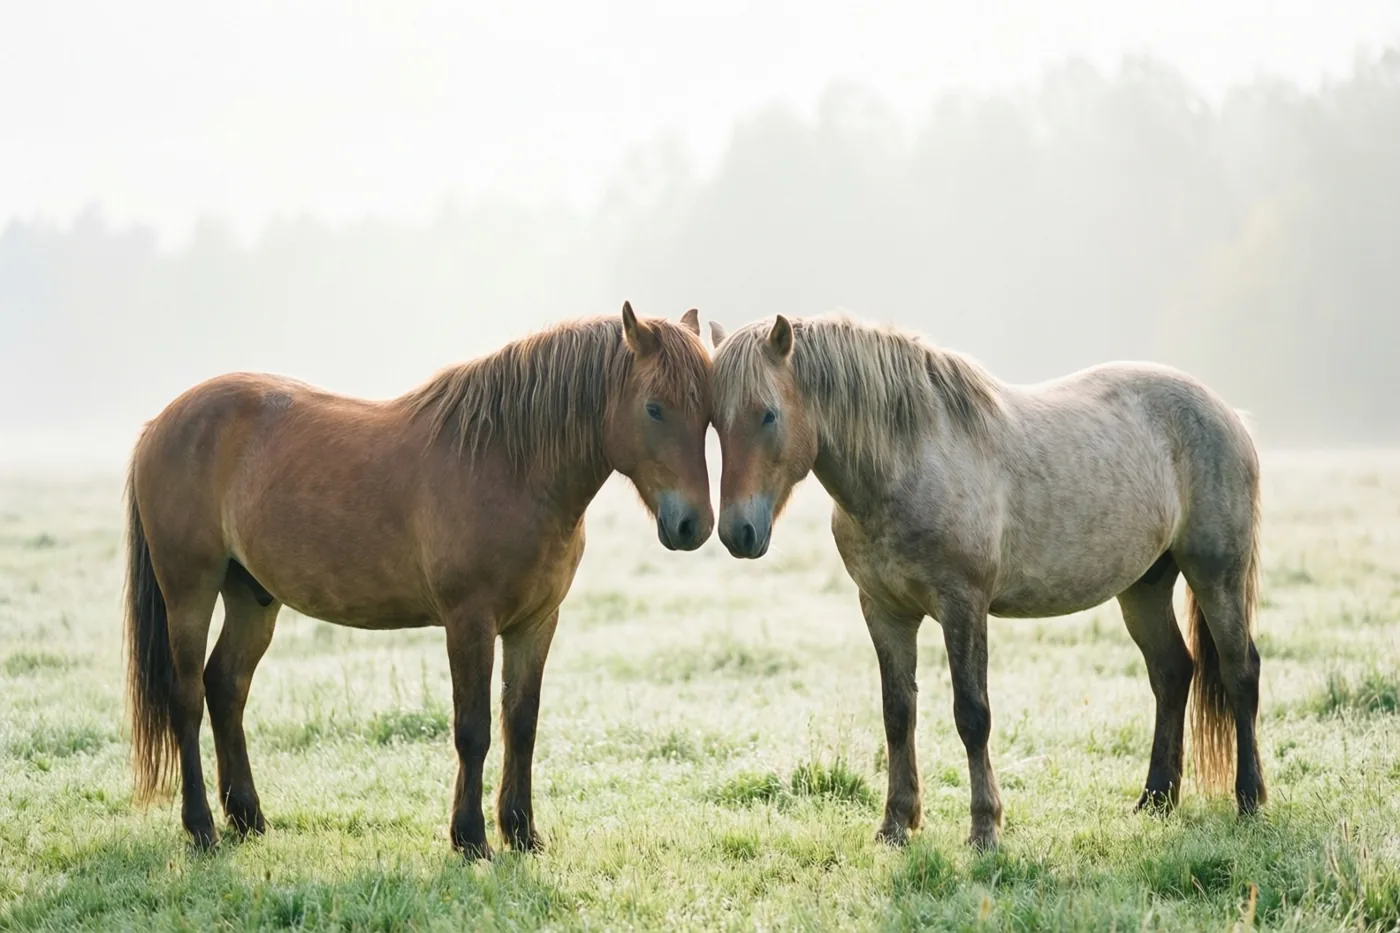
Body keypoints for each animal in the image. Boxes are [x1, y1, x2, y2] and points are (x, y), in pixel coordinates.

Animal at [124, 303, 713, 858]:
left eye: (708, 414)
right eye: (654, 408)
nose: (694, 526)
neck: (508, 463)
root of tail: (159, 423)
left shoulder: (536, 623)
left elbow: (521, 724)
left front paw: (522, 833)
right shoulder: (469, 621)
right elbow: (473, 729)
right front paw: (471, 839)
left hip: (252, 598)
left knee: (226, 686)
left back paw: (248, 818)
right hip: (190, 593)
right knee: (187, 697)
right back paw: (201, 828)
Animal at [708, 313, 1264, 849]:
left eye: (767, 414)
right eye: (713, 421)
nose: (738, 532)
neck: (910, 461)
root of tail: (1227, 413)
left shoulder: (963, 606)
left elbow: (972, 716)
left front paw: (984, 829)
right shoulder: (885, 611)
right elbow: (897, 714)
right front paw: (896, 824)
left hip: (1216, 575)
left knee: (1240, 671)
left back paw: (1250, 798)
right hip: (1145, 587)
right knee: (1172, 673)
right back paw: (1155, 799)